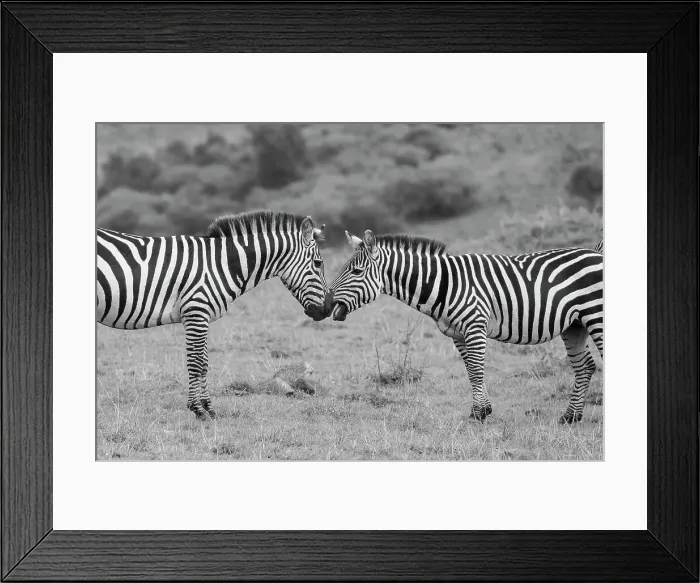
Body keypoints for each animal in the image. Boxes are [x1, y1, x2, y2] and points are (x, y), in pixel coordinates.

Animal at [97, 210, 333, 420]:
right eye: (318, 263)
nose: (328, 309)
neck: (221, 265)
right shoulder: (196, 312)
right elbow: (196, 363)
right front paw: (198, 410)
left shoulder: (203, 317)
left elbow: (204, 363)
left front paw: (208, 408)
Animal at [329, 230, 603, 423]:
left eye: (356, 271)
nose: (326, 303)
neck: (446, 284)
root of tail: (596, 253)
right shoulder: (457, 334)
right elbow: (471, 371)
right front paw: (481, 411)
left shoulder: (475, 326)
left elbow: (478, 370)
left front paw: (480, 414)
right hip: (574, 325)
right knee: (585, 366)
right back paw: (570, 417)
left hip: (596, 316)